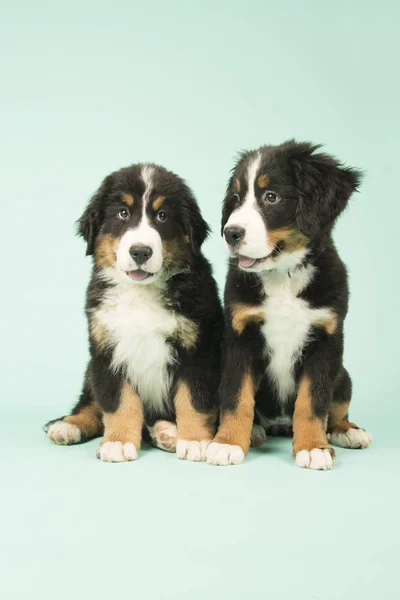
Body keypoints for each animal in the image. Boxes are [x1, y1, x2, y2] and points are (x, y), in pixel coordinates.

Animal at [45, 164, 225, 464]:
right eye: (123, 213)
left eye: (162, 216)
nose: (141, 251)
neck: (141, 292)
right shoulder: (107, 350)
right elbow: (118, 402)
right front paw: (117, 442)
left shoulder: (198, 349)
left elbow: (193, 399)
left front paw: (195, 440)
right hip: (91, 370)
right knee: (90, 404)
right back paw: (68, 426)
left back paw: (167, 432)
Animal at [206, 139, 372, 468]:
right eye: (236, 198)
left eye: (271, 197)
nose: (231, 233)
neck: (283, 275)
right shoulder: (240, 338)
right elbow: (236, 395)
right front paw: (227, 442)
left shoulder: (324, 341)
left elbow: (314, 401)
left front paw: (313, 447)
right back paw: (255, 430)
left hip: (343, 375)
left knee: (337, 408)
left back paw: (347, 430)